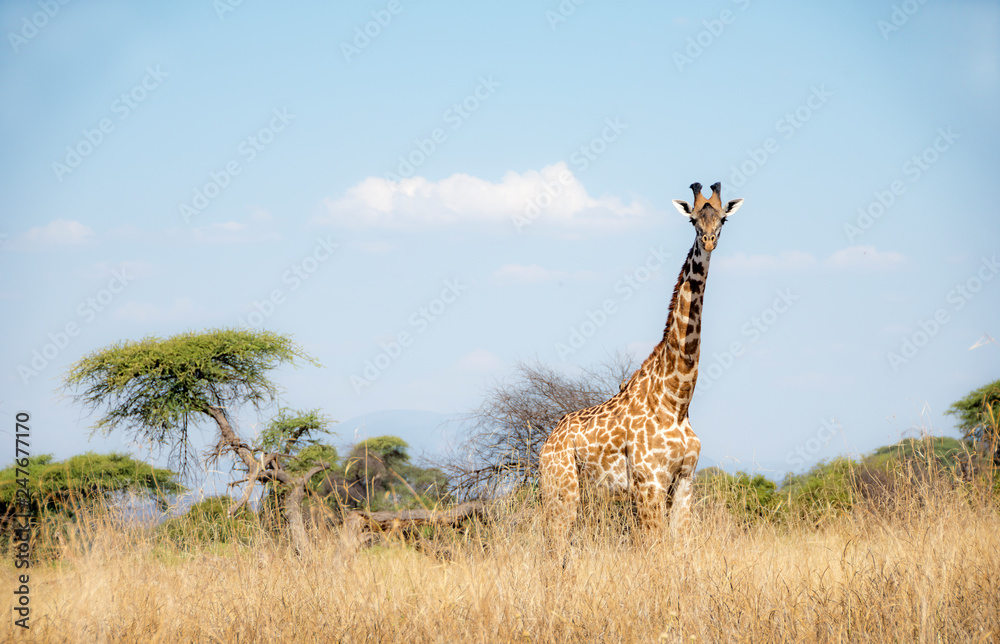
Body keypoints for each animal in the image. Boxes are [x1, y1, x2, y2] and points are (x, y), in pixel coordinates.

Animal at [539, 181, 743, 552]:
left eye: (722, 219)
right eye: (693, 219)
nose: (708, 241)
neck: (676, 399)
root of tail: (547, 443)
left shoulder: (685, 481)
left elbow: (680, 547)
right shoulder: (650, 483)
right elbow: (655, 549)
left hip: (583, 494)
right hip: (561, 489)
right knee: (555, 544)